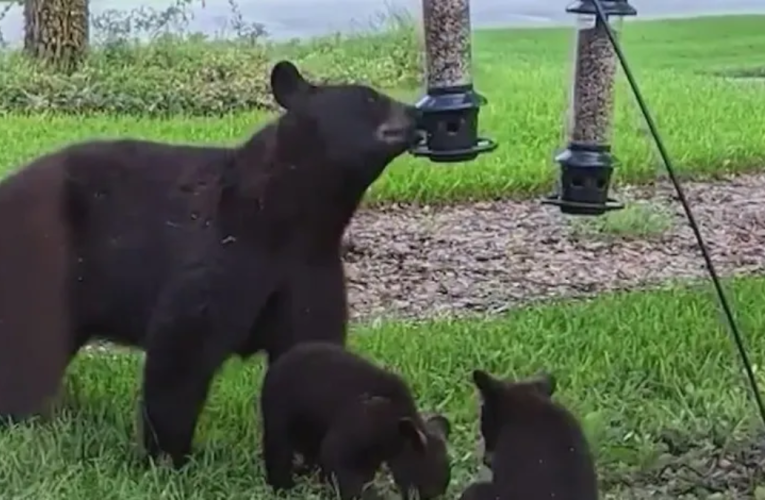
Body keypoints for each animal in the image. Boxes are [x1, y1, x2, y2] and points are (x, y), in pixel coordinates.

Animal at [0, 60, 420, 466]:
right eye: (369, 97)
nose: (415, 113)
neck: (290, 218)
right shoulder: (218, 253)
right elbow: (181, 350)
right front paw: (169, 457)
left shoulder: (311, 270)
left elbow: (311, 348)